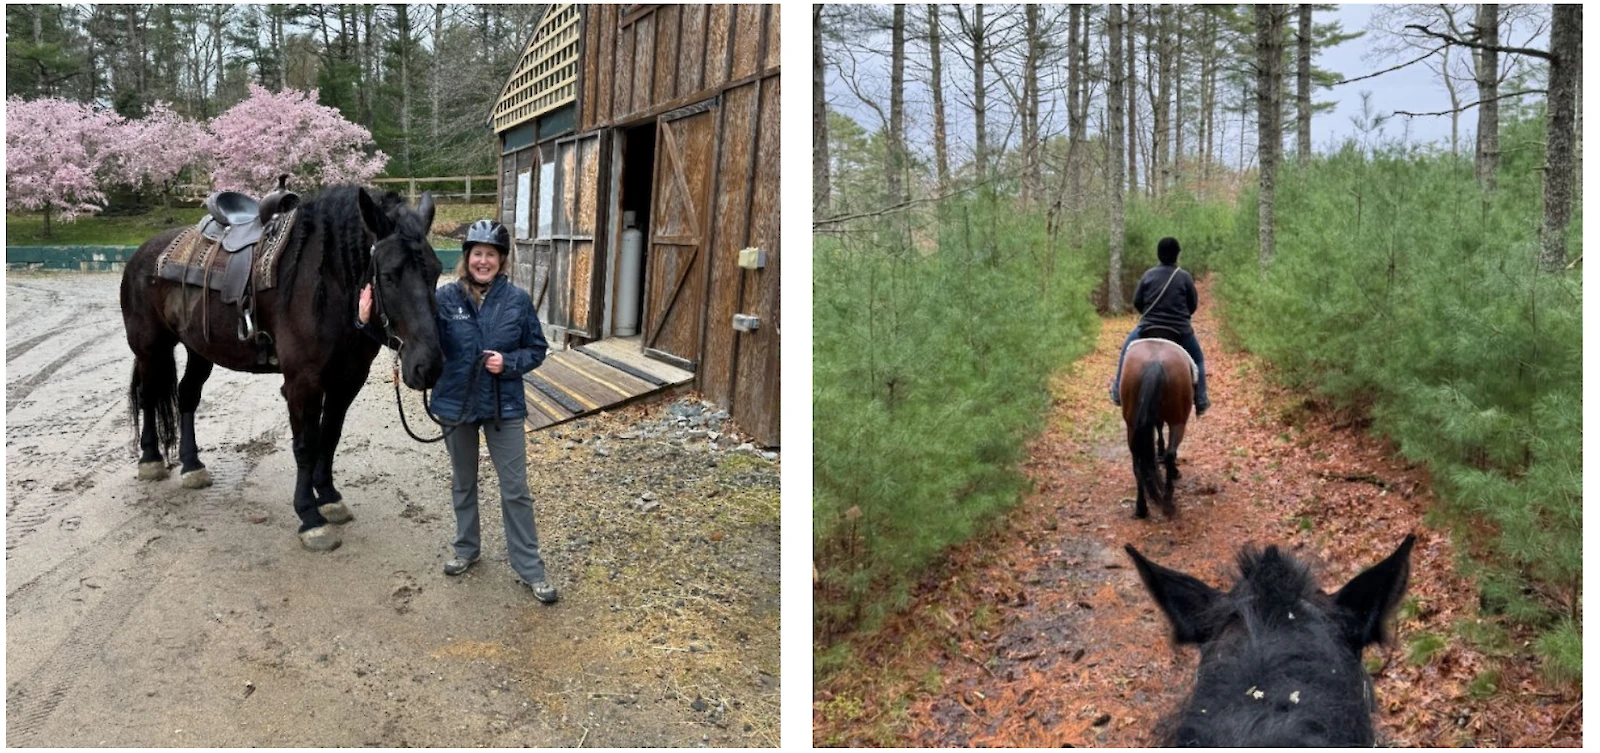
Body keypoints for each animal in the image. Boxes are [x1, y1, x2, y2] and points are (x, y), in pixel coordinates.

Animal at [119, 187, 448, 553]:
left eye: (436, 272)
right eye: (389, 275)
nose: (429, 366)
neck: (326, 284)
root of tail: (143, 253)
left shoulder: (348, 378)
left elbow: (329, 437)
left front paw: (329, 498)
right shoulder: (303, 382)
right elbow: (305, 445)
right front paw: (310, 518)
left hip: (198, 349)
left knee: (187, 395)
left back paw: (192, 466)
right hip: (150, 349)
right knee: (148, 396)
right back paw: (150, 460)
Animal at [1120, 329, 1196, 517]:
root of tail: (1154, 363)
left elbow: (1158, 427)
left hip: (1132, 423)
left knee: (1137, 459)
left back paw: (1141, 508)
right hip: (1178, 421)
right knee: (1171, 454)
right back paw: (1168, 500)